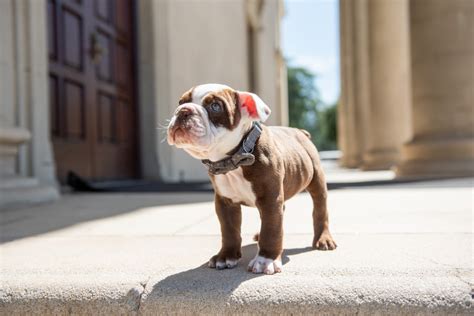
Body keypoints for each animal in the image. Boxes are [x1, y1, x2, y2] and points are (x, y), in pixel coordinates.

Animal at [167, 83, 336, 274]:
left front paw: (265, 259)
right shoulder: (225, 202)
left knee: (320, 209)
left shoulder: (270, 200)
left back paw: (323, 239)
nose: (183, 111)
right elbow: (229, 230)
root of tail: (300, 132)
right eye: (180, 102)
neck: (236, 158)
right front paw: (226, 256)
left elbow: (271, 229)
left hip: (316, 180)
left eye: (215, 106)